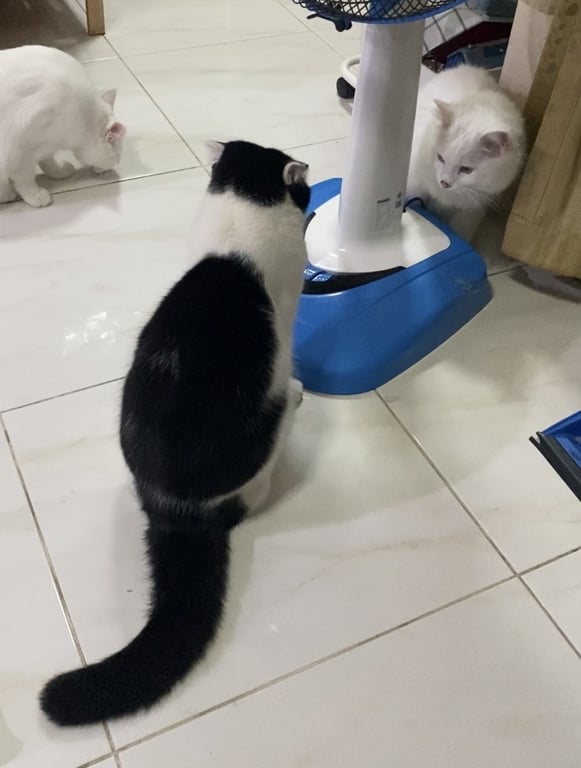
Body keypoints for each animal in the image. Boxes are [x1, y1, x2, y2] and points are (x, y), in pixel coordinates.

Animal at [0, 45, 125, 208]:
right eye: (117, 156)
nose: (116, 164)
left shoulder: (45, 145)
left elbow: (48, 163)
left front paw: (59, 172)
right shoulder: (17, 151)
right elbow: (24, 180)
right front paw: (34, 195)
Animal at [39, 140, 310, 727]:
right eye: (301, 189)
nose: (308, 186)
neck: (244, 204)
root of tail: (174, 511)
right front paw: (306, 383)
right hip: (266, 430)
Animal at [407, 65, 525, 241]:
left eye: (466, 169)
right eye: (440, 158)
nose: (444, 183)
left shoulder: (475, 206)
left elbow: (461, 230)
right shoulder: (420, 188)